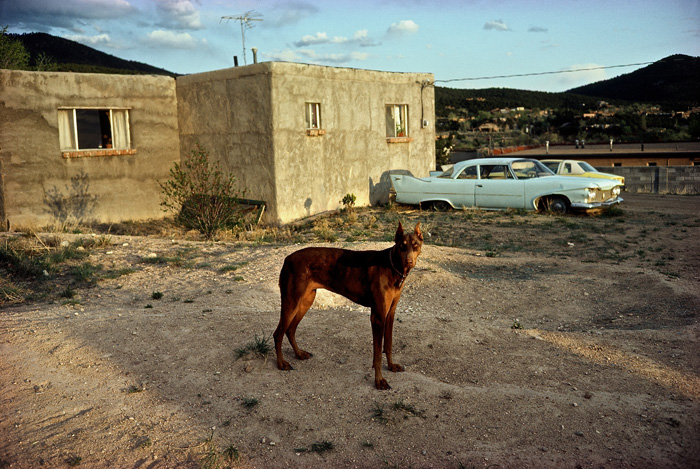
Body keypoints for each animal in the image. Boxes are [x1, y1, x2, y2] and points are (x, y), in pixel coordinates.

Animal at [274, 221, 422, 390]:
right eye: (401, 246)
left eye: (415, 245)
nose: (409, 261)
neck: (392, 267)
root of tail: (287, 259)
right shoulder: (377, 317)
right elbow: (377, 353)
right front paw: (379, 380)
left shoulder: (390, 313)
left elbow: (388, 344)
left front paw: (391, 366)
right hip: (291, 302)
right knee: (278, 333)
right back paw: (281, 363)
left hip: (305, 301)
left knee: (290, 330)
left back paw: (299, 354)